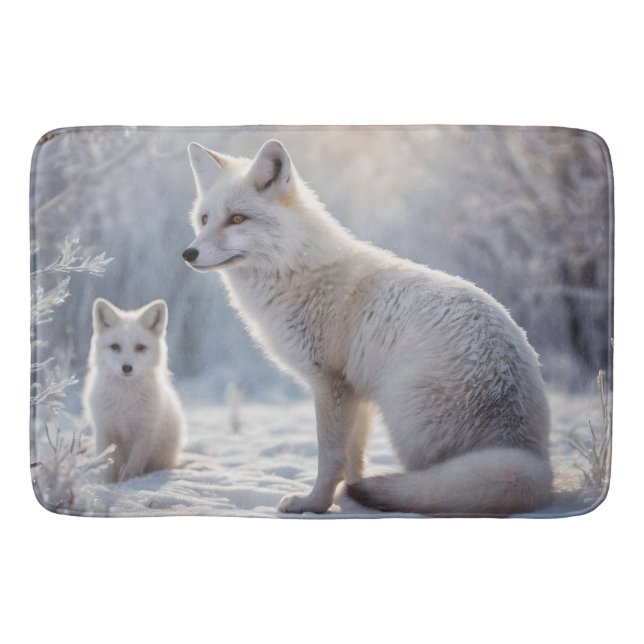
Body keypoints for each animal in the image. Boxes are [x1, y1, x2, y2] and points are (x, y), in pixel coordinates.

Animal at [83, 298, 185, 483]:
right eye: (115, 346)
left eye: (140, 347)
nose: (127, 368)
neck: (125, 400)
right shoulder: (105, 430)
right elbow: (107, 464)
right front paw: (106, 484)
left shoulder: (145, 432)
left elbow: (133, 465)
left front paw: (127, 481)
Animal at [182, 139, 553, 516]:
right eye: (204, 219)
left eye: (237, 219)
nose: (188, 253)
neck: (295, 270)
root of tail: (525, 455)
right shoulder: (354, 392)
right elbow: (353, 459)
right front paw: (350, 498)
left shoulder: (329, 384)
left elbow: (330, 458)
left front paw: (314, 504)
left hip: (405, 422)